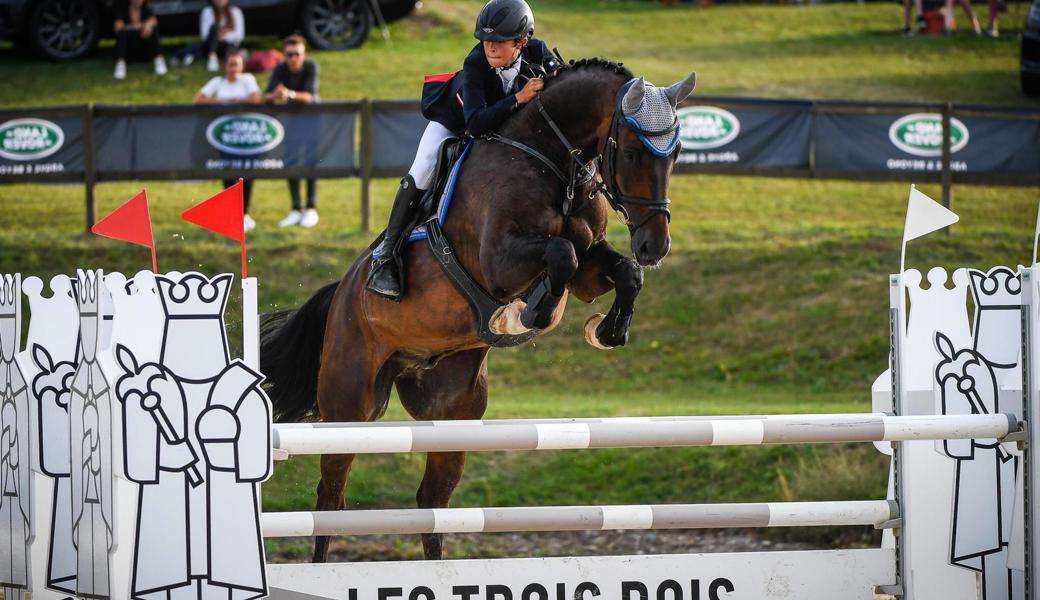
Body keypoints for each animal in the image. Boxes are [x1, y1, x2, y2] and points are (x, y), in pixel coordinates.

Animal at [260, 57, 698, 561]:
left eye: (676, 152)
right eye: (630, 153)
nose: (654, 246)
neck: (550, 156)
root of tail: (343, 291)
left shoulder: (591, 265)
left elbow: (621, 271)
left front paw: (609, 330)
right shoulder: (500, 261)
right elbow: (560, 254)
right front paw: (532, 312)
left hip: (453, 408)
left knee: (432, 501)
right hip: (351, 401)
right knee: (330, 498)